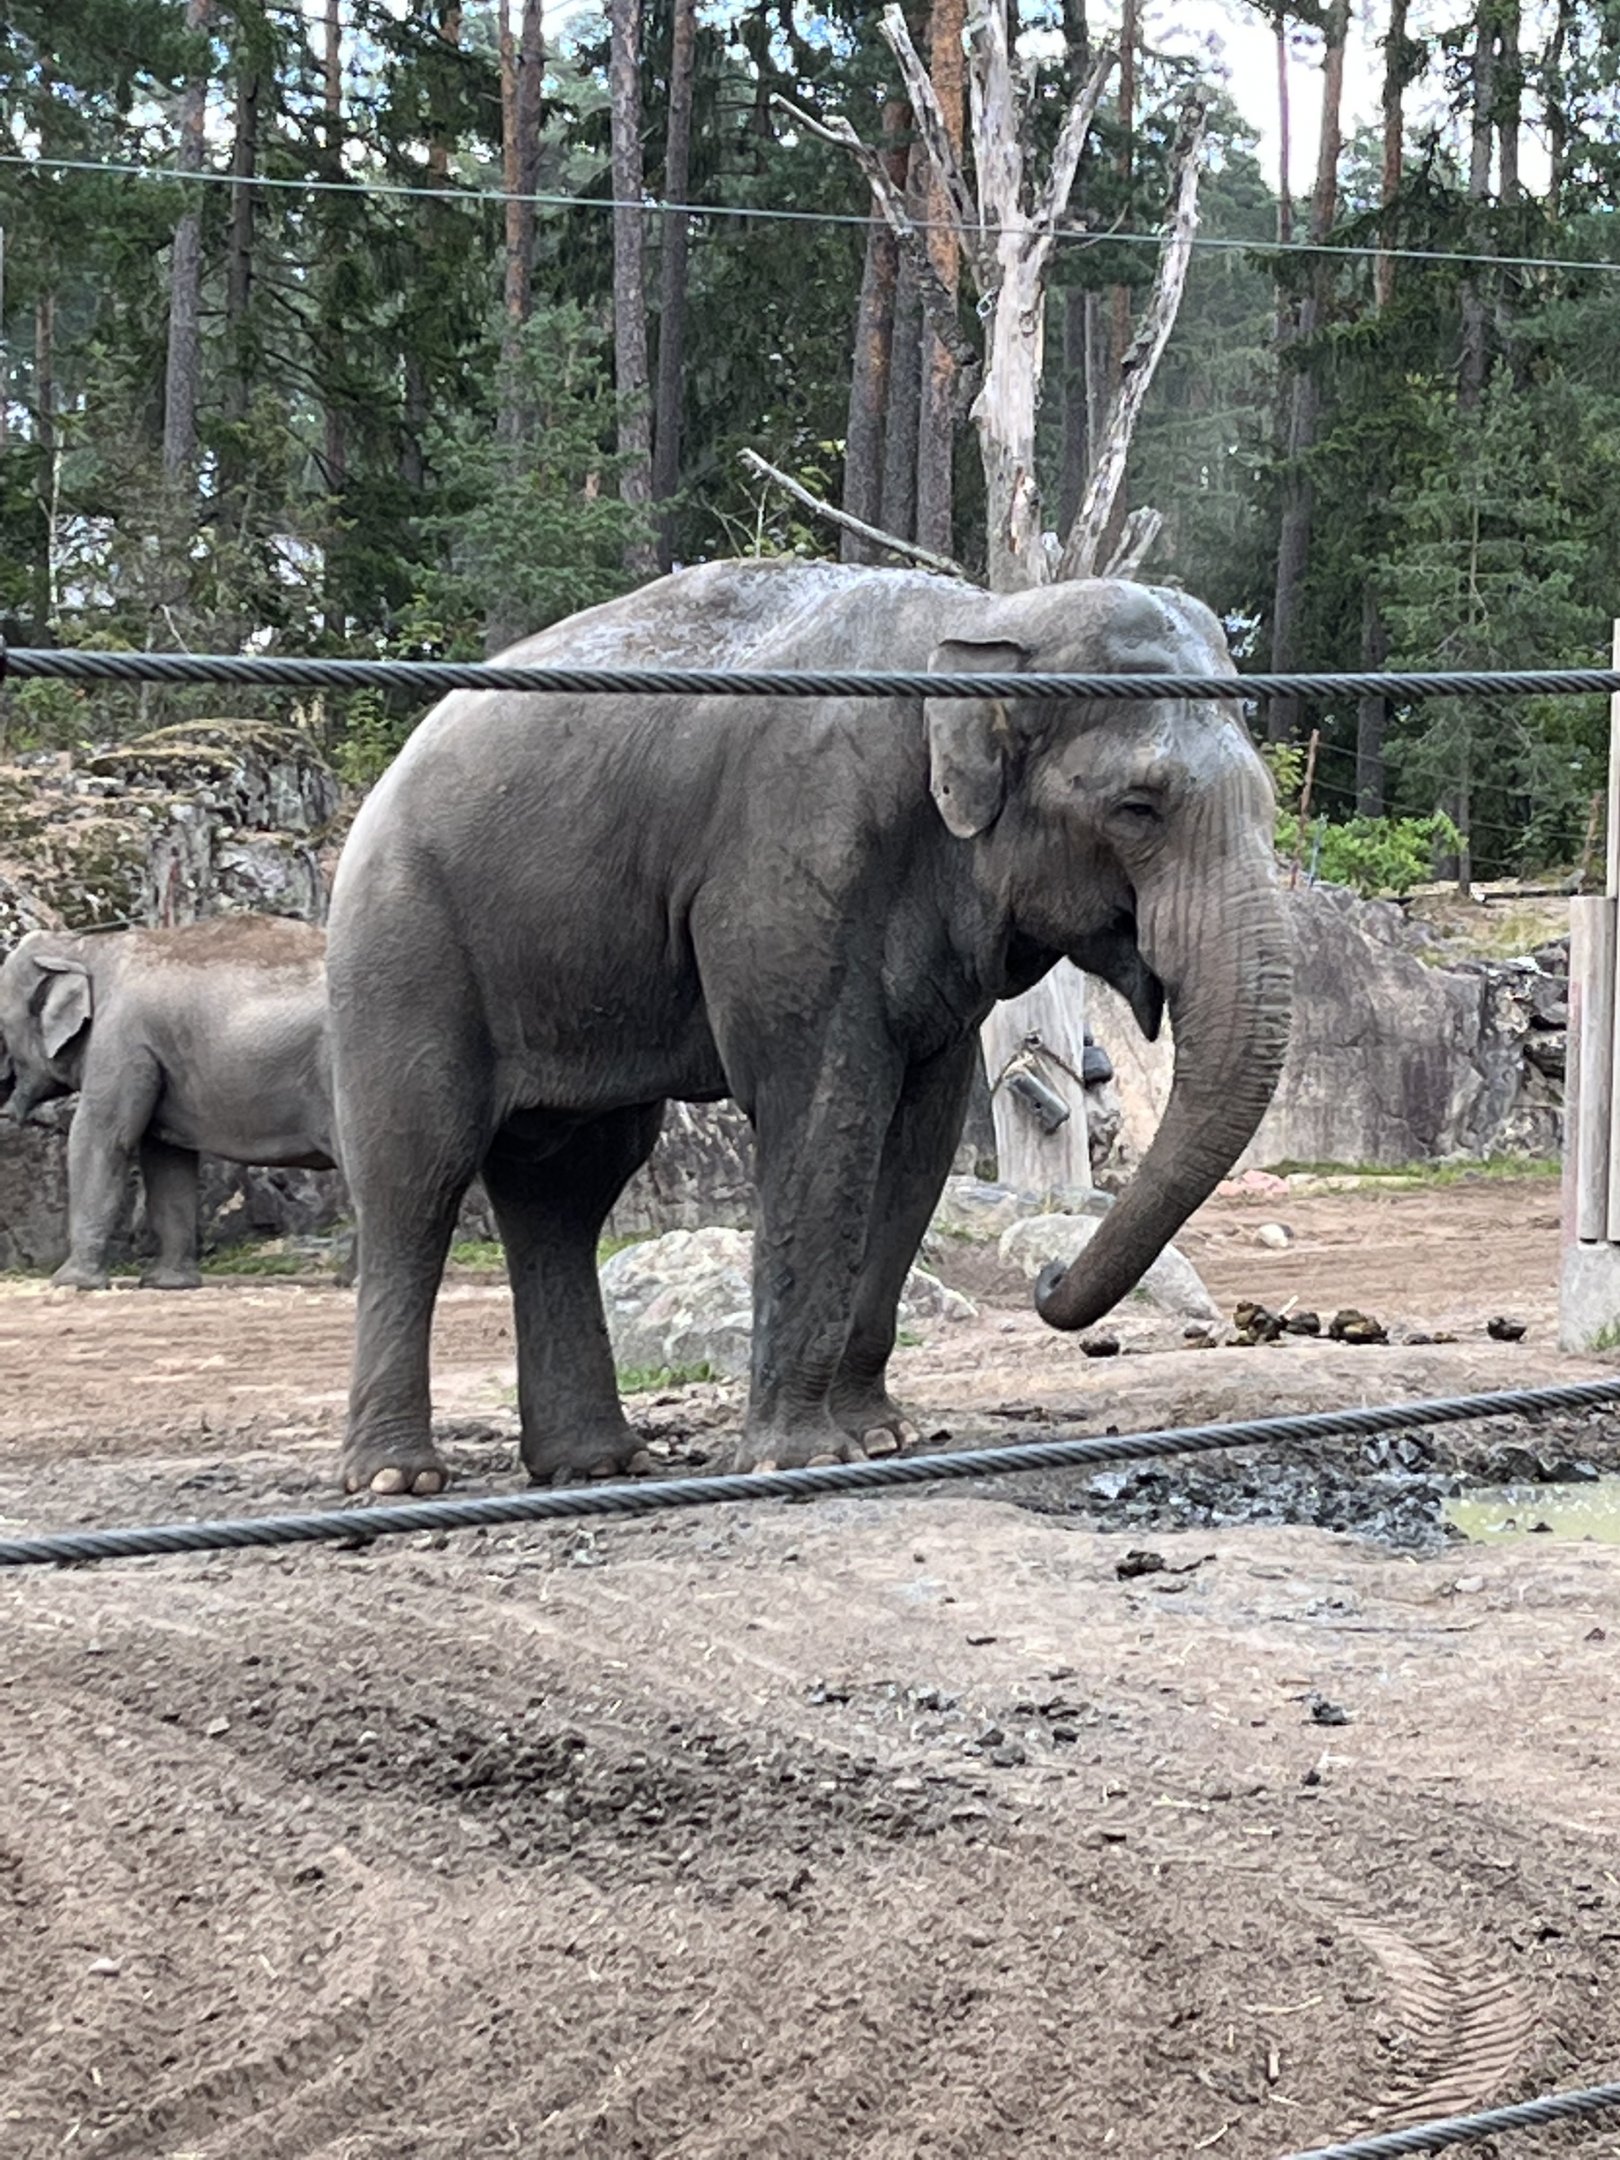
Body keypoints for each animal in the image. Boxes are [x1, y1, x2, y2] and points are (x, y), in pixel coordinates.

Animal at [0, 915, 340, 1290]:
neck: (82, 945)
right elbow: (166, 1160)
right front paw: (168, 1283)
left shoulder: (121, 1040)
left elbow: (101, 1138)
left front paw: (70, 1282)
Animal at [327, 558, 1291, 1496]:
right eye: (1139, 807)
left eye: (1272, 808)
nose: (1050, 1279)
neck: (984, 617)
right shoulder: (792, 852)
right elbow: (825, 1104)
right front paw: (803, 1459)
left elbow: (920, 1132)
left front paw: (882, 1437)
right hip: (403, 946)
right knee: (420, 1174)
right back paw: (398, 1479)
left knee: (566, 1186)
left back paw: (596, 1463)